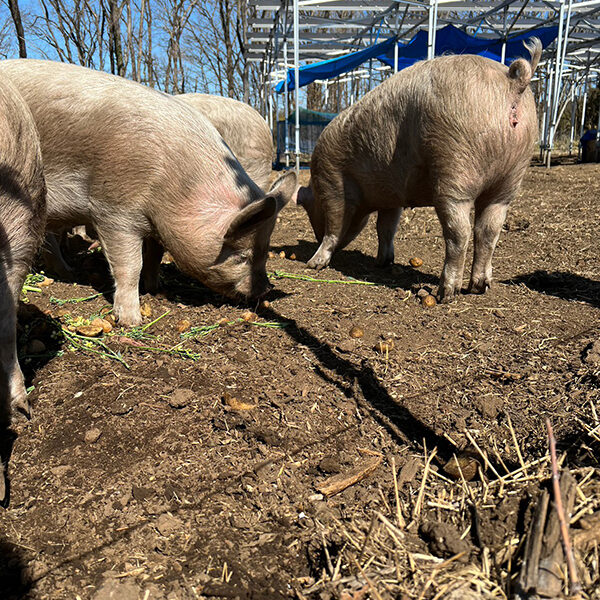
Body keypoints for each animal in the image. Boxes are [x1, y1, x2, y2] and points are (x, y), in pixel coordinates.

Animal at [0, 58, 298, 326]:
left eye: (265, 251)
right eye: (241, 256)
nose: (266, 289)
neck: (177, 185)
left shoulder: (156, 224)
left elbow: (154, 255)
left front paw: (156, 288)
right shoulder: (112, 210)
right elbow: (130, 265)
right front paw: (131, 321)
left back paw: (70, 271)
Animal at [298, 39, 540, 302]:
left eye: (311, 206)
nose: (314, 238)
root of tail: (513, 81)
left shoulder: (332, 184)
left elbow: (335, 226)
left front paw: (313, 264)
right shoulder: (391, 198)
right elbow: (385, 229)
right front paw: (382, 263)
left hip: (455, 167)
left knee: (460, 232)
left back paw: (446, 293)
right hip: (511, 178)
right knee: (489, 230)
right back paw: (479, 287)